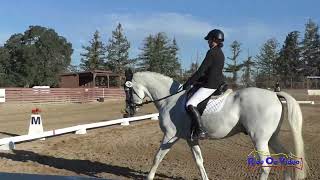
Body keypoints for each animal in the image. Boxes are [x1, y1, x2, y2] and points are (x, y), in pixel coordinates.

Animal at [124, 71, 308, 179]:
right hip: (272, 138)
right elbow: (199, 160)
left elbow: (157, 157)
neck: (171, 99)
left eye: (127, 90)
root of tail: (275, 95)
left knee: (266, 166)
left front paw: (149, 177)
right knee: (287, 156)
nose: (128, 112)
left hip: (260, 139)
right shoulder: (191, 138)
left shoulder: (170, 135)